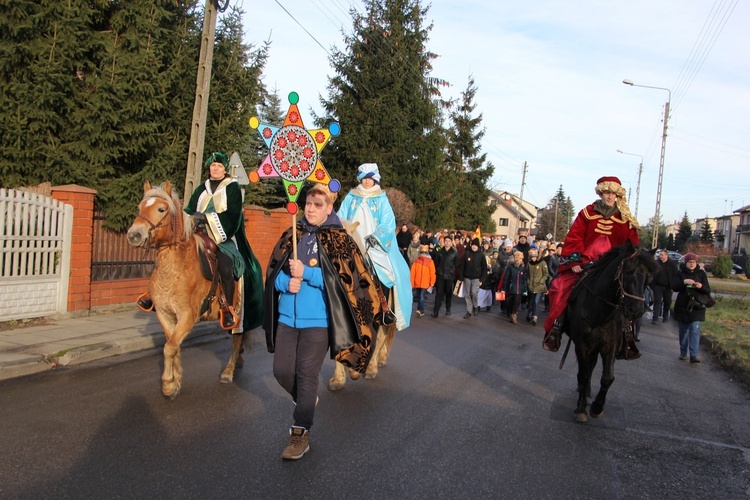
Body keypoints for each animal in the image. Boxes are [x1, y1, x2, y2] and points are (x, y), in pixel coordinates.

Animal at [127, 181, 247, 398]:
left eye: (161, 209)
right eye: (140, 207)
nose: (134, 235)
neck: (174, 268)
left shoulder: (187, 315)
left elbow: (169, 347)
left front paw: (168, 383)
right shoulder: (165, 314)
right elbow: (172, 346)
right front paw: (175, 381)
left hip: (239, 314)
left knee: (237, 339)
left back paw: (228, 371)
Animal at [568, 240, 656, 420]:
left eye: (649, 278)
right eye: (629, 271)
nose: (636, 311)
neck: (599, 310)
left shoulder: (610, 346)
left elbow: (607, 377)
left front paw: (597, 407)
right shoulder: (582, 345)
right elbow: (583, 374)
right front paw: (581, 408)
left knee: (592, 366)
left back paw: (588, 394)